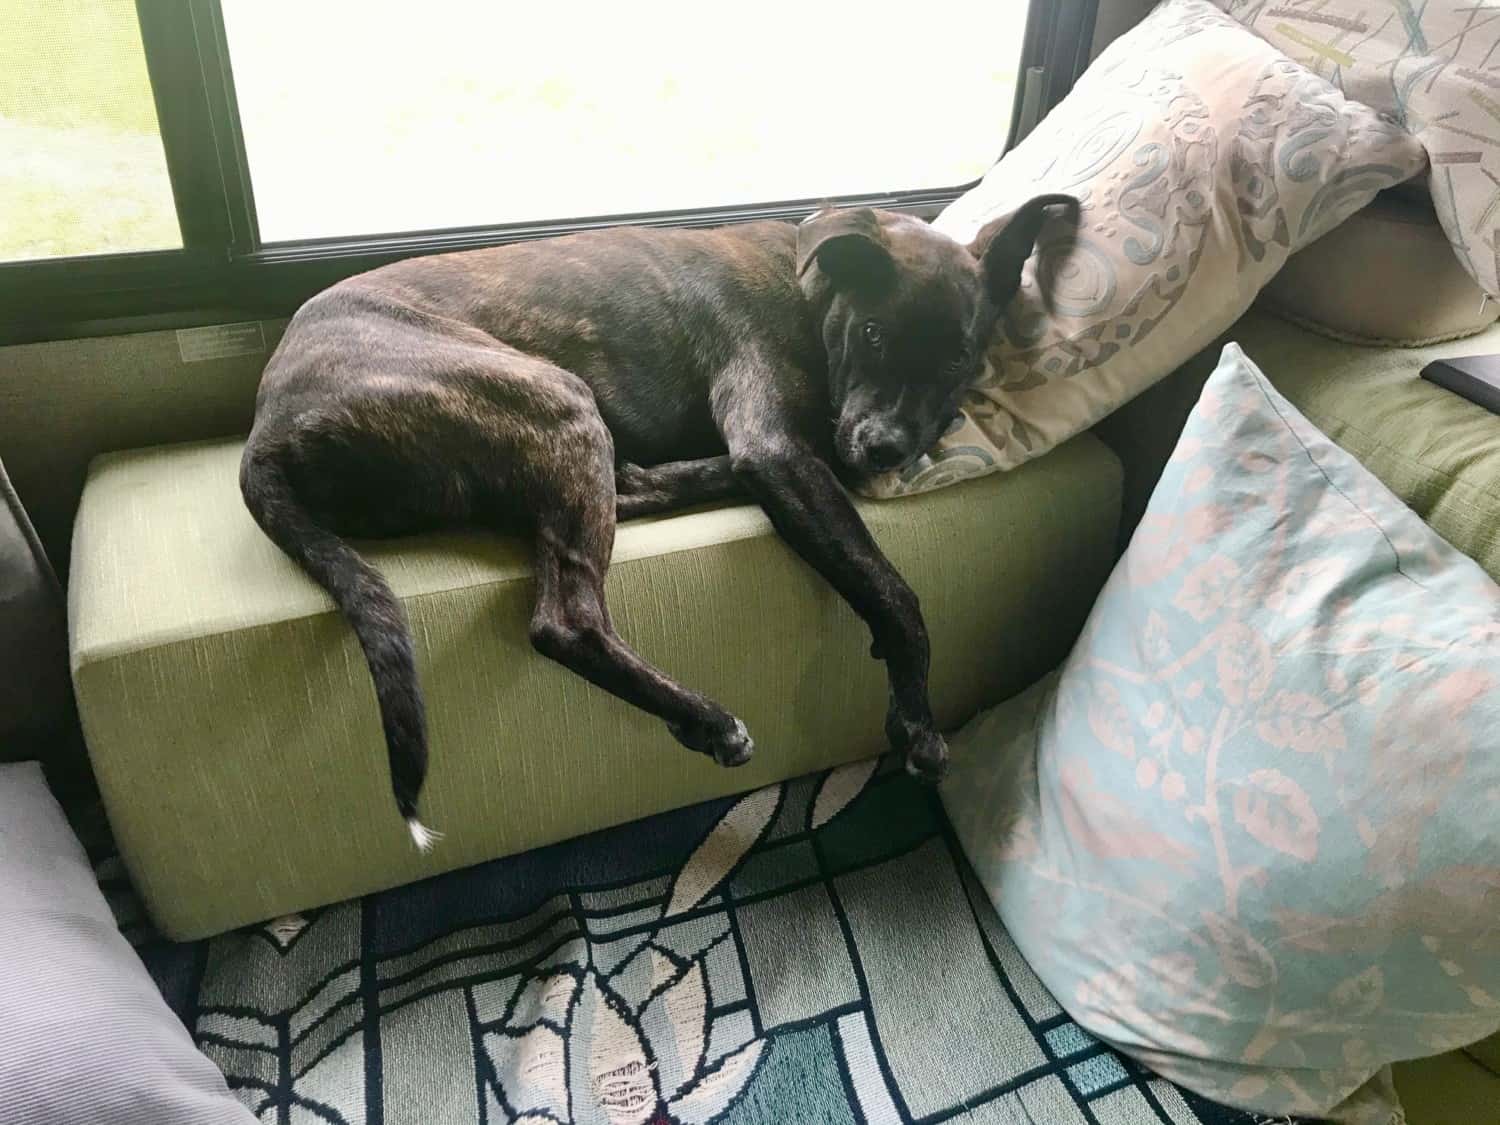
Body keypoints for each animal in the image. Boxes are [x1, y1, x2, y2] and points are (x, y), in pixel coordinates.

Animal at [240, 196, 1074, 846]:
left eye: (959, 357)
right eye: (872, 333)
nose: (884, 448)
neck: (810, 288)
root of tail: (266, 432)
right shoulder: (774, 445)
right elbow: (895, 591)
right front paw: (917, 718)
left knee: (624, 493)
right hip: (554, 401)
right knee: (566, 619)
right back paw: (703, 718)